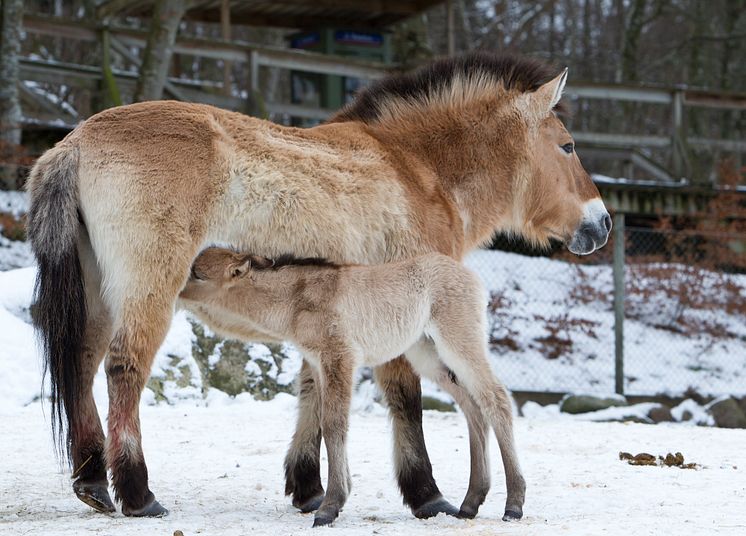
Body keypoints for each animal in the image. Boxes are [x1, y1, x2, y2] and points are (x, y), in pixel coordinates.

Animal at [179, 248, 524, 528]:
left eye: (197, 274)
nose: (175, 292)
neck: (297, 301)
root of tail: (471, 276)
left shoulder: (340, 359)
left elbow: (334, 425)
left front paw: (329, 508)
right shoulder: (320, 364)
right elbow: (325, 423)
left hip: (459, 343)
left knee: (496, 400)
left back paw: (513, 505)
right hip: (428, 356)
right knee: (473, 407)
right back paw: (470, 503)